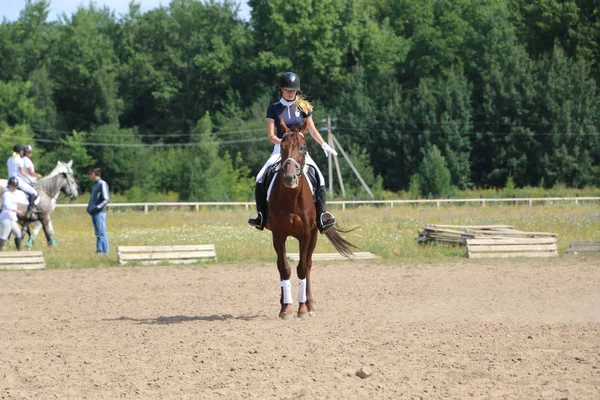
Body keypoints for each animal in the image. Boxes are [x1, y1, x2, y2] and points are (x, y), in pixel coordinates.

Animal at [268, 119, 356, 318]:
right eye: (282, 146)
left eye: (302, 147)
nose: (290, 177)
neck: (292, 198)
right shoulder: (278, 234)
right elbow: (284, 268)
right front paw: (286, 308)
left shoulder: (306, 234)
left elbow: (302, 268)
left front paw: (302, 308)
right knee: (281, 265)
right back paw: (284, 302)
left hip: (314, 234)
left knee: (307, 265)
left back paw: (309, 305)